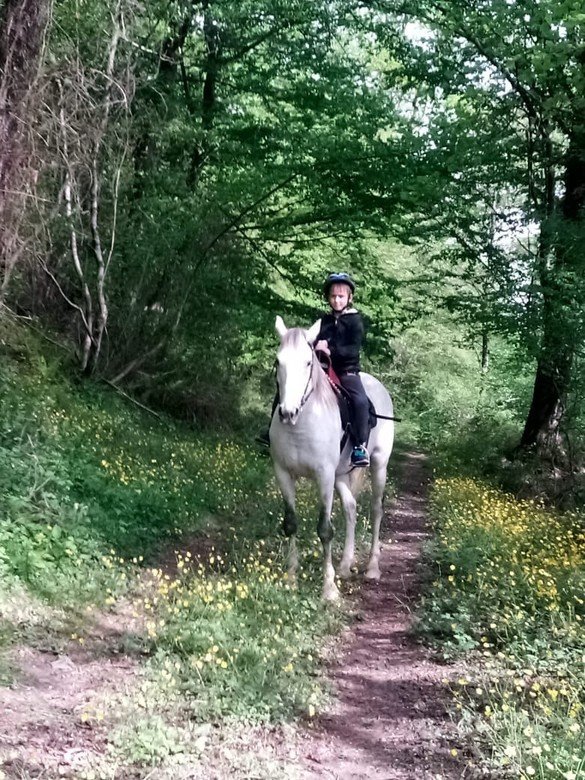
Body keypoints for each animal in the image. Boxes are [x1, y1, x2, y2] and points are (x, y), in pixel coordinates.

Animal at [269, 315, 395, 601]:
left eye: (308, 362)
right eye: (278, 361)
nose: (288, 412)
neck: (301, 425)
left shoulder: (323, 475)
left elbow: (324, 530)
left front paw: (328, 589)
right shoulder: (283, 473)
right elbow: (291, 524)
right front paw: (291, 577)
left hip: (378, 465)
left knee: (375, 509)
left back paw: (372, 567)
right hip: (340, 475)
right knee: (351, 508)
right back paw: (346, 565)